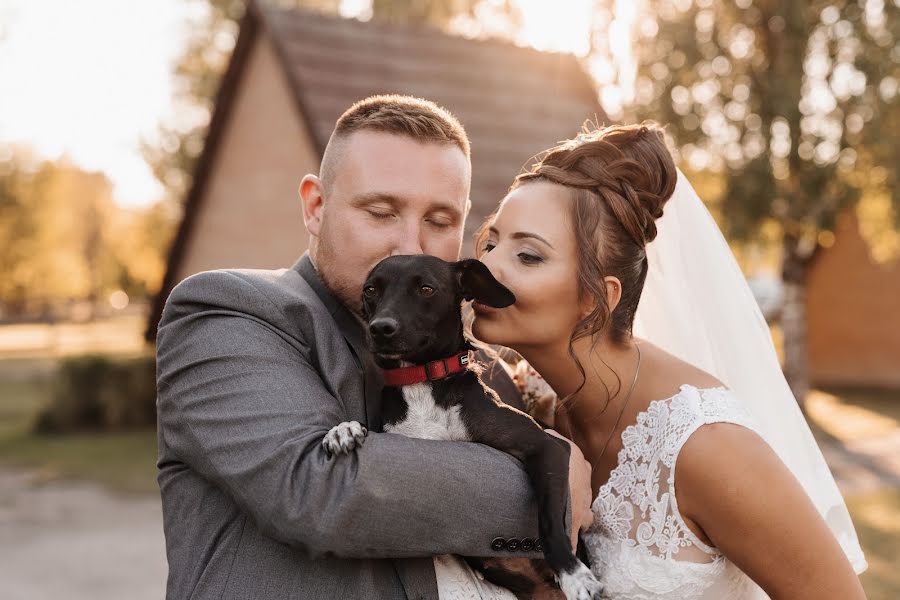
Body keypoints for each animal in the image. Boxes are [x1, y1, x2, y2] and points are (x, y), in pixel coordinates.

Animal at [324, 254, 604, 600]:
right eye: (371, 290)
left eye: (426, 288)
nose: (380, 329)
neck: (423, 380)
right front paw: (343, 429)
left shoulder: (547, 446)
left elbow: (550, 519)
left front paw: (572, 573)